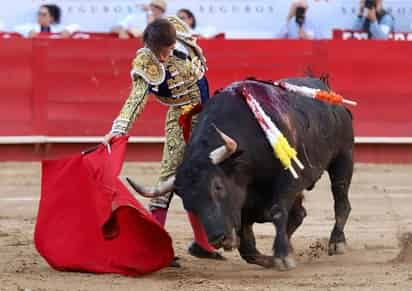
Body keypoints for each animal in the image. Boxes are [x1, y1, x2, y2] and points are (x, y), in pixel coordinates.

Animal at [127, 78, 352, 272]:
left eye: (218, 186)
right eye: (187, 203)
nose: (217, 238)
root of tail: (324, 87)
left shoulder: (288, 180)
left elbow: (278, 212)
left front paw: (282, 257)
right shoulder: (242, 205)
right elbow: (248, 249)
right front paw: (272, 258)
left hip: (343, 157)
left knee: (341, 200)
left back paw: (336, 243)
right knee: (299, 214)